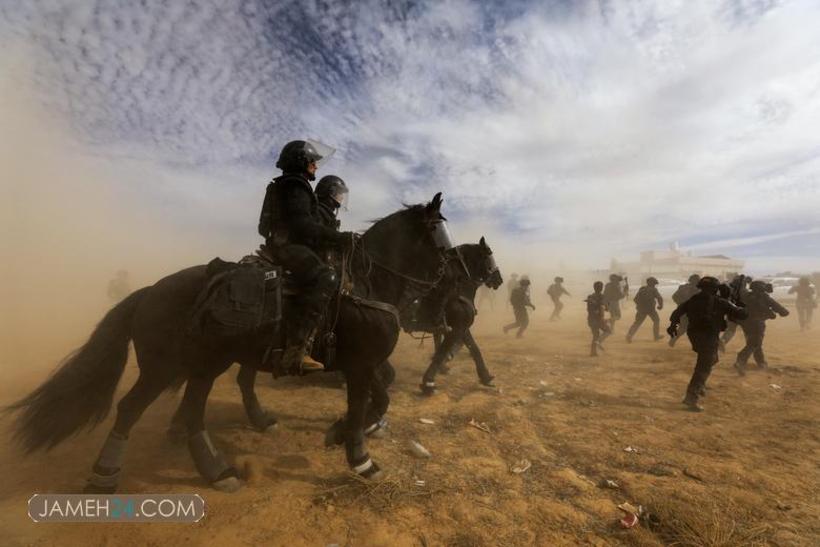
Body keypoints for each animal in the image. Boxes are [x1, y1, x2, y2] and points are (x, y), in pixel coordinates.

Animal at [6, 194, 452, 492]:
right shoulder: (359, 364)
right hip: (163, 368)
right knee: (133, 408)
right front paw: (361, 459)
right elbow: (365, 404)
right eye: (438, 234)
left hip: (206, 364)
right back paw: (106, 475)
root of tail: (150, 291)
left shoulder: (362, 364)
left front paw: (339, 432)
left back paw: (216, 469)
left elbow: (381, 397)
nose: (447, 279)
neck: (364, 285)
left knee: (195, 410)